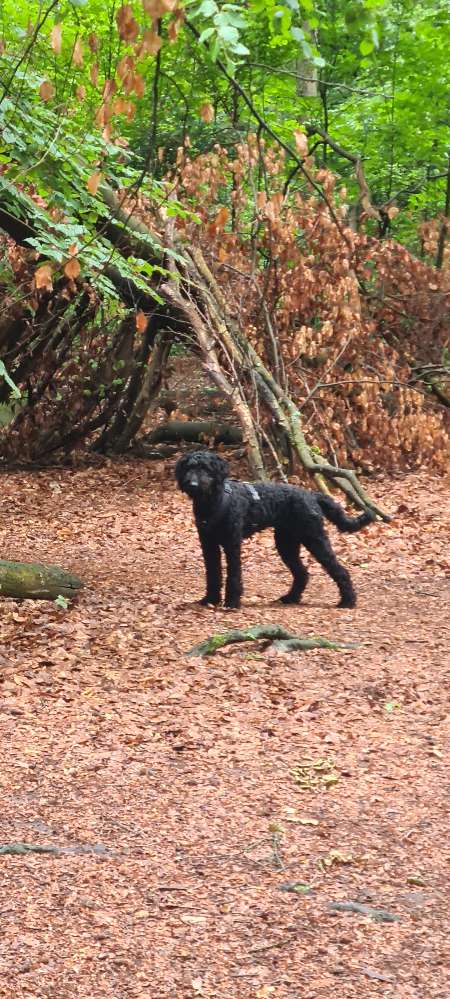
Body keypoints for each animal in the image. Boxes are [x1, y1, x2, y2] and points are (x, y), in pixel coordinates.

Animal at [176, 452, 376, 608]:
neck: (212, 502)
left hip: (314, 538)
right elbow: (213, 573)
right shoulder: (209, 545)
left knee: (339, 570)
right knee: (302, 573)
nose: (192, 484)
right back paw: (291, 598)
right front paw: (210, 599)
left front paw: (232, 602)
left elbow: (233, 574)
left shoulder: (232, 544)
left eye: (205, 468)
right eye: (188, 468)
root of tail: (311, 494)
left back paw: (348, 601)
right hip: (286, 543)